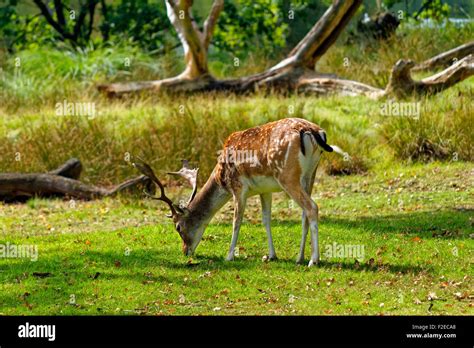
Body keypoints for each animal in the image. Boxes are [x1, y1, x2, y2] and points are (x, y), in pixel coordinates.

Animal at [133, 117, 344, 266]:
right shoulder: (265, 190)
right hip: (310, 174)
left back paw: (313, 260)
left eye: (178, 227)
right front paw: (271, 255)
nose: (185, 251)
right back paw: (300, 258)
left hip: (287, 175)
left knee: (312, 207)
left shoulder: (238, 187)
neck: (221, 177)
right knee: (304, 214)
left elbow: (237, 221)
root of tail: (313, 131)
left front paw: (229, 256)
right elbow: (266, 220)